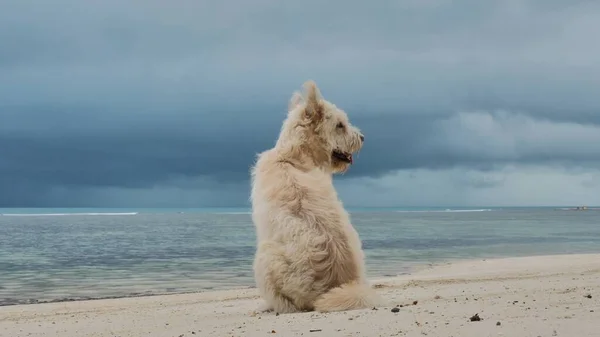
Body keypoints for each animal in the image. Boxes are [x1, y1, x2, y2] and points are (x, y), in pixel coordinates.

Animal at [250, 80, 382, 312]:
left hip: (265, 257)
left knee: (286, 304)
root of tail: (332, 287)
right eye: (340, 125)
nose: (362, 138)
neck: (292, 156)